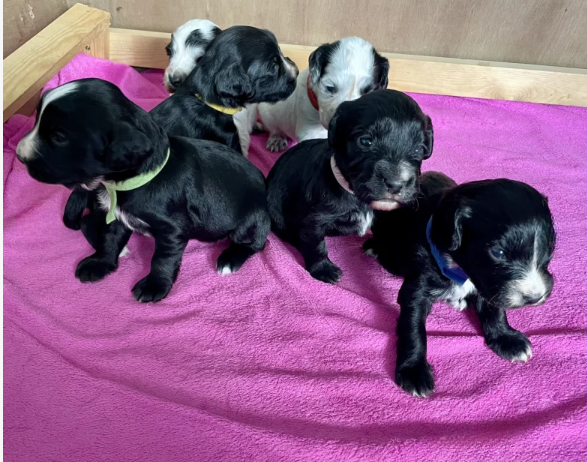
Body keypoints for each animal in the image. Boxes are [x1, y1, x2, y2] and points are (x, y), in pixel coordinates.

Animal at [16, 78, 272, 304]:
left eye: (58, 137)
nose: (19, 155)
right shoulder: (117, 216)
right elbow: (109, 240)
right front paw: (100, 264)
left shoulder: (172, 231)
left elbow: (162, 260)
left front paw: (154, 286)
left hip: (252, 220)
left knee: (256, 243)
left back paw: (229, 260)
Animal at [258, 36, 388, 152]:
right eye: (330, 88)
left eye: (369, 92)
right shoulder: (309, 130)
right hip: (267, 113)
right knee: (274, 128)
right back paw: (277, 139)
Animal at [268, 89, 434, 286]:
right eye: (366, 142)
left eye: (419, 149)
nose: (396, 184)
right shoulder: (313, 220)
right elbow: (316, 245)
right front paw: (323, 269)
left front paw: (376, 247)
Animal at [366, 172, 560, 398]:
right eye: (499, 253)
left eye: (550, 248)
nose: (535, 298)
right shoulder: (417, 287)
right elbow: (413, 328)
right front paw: (414, 371)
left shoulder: (488, 285)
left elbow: (495, 311)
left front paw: (506, 339)